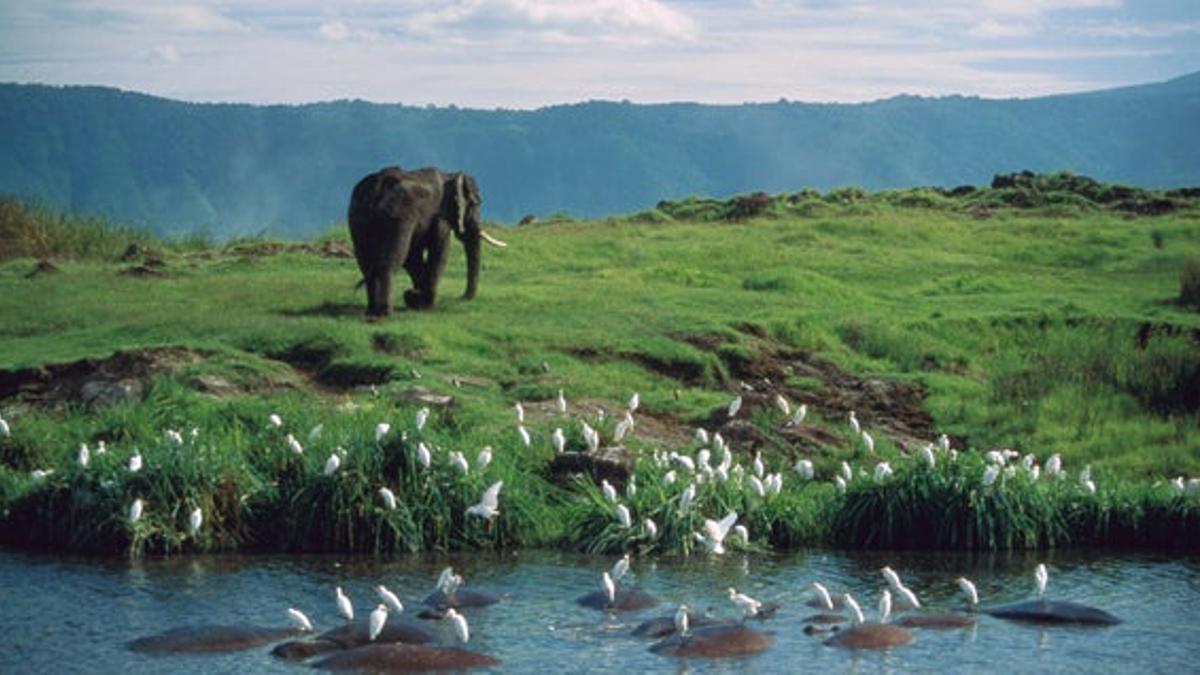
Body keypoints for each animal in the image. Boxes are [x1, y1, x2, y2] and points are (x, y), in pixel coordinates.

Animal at [348, 166, 506, 317]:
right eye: (475, 203)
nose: (460, 298)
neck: (450, 175)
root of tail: (377, 187)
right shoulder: (439, 217)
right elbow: (439, 251)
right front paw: (426, 305)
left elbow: (413, 256)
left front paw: (415, 299)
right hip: (396, 215)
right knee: (392, 260)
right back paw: (384, 314)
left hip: (357, 215)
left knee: (365, 263)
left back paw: (371, 312)